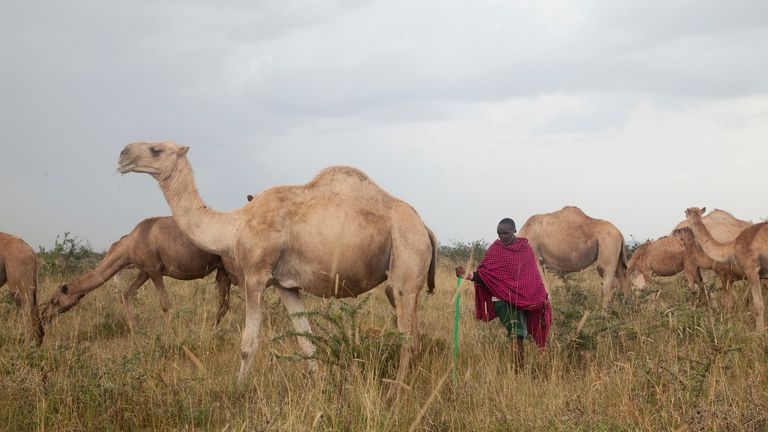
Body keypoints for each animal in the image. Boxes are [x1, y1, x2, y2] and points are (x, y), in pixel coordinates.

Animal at [41, 218, 240, 330]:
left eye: (54, 301)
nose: (43, 317)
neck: (128, 246)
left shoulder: (153, 268)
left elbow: (165, 304)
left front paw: (171, 335)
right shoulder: (144, 270)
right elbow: (126, 293)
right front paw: (136, 329)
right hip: (223, 270)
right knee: (224, 304)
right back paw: (211, 331)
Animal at [115, 142, 438, 388]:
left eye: (156, 149)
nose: (123, 154)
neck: (235, 225)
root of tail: (424, 226)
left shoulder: (255, 276)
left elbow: (248, 345)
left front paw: (237, 390)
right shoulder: (286, 285)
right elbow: (306, 342)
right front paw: (320, 388)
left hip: (405, 256)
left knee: (407, 338)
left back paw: (395, 394)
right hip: (404, 277)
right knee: (415, 335)